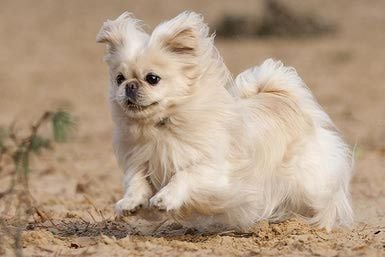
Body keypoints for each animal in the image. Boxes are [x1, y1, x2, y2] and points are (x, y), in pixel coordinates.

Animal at [96, 11, 352, 229]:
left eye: (152, 78)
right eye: (119, 78)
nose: (130, 86)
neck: (161, 127)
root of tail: (283, 96)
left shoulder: (214, 170)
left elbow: (184, 175)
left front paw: (165, 198)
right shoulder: (140, 161)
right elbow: (136, 182)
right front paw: (131, 204)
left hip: (309, 183)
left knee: (326, 200)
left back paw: (318, 225)